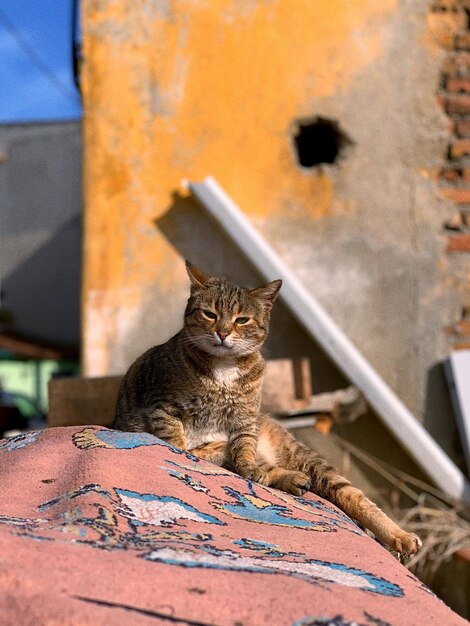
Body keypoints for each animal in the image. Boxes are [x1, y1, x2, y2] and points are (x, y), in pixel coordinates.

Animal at [114, 260, 422, 552]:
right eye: (210, 314)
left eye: (242, 320)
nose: (223, 333)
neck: (223, 371)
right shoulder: (162, 406)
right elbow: (177, 442)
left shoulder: (244, 421)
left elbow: (242, 453)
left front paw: (247, 467)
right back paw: (291, 479)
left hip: (308, 459)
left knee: (350, 493)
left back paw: (400, 535)